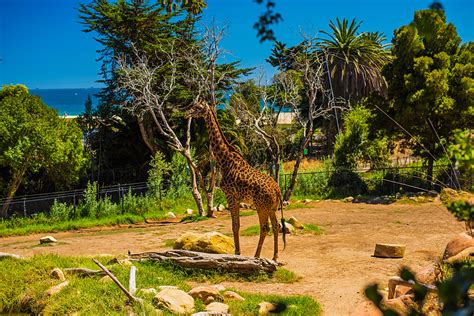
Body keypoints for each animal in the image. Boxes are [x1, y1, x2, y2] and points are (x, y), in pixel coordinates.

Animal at [185, 100, 286, 262]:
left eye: (198, 108)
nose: (186, 113)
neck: (224, 160)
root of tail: (277, 190)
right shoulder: (236, 198)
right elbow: (236, 224)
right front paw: (237, 252)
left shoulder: (230, 195)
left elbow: (234, 225)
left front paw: (237, 253)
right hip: (271, 207)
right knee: (276, 226)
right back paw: (275, 256)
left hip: (261, 207)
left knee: (265, 227)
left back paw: (257, 256)